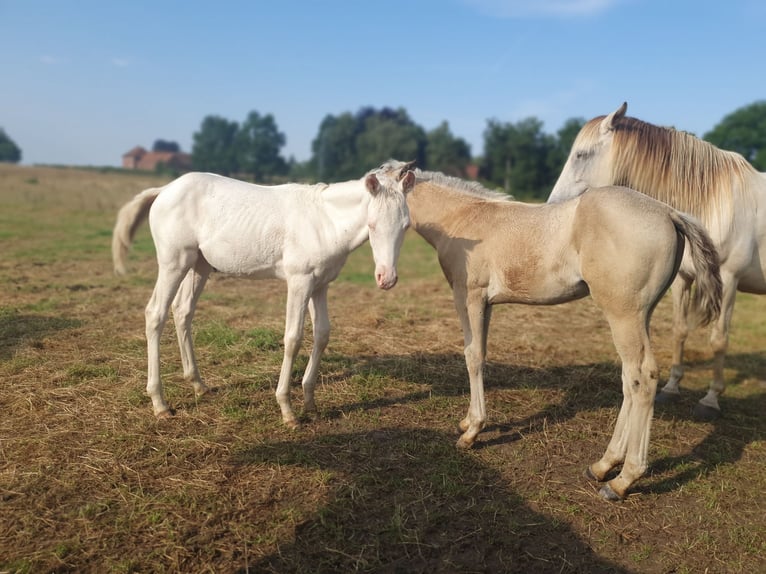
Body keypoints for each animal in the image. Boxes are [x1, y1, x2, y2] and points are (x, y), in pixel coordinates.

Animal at [111, 165, 414, 428]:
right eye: (372, 225)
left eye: (406, 226)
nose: (387, 279)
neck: (323, 222)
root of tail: (164, 190)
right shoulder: (299, 282)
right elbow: (293, 339)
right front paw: (288, 410)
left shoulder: (320, 286)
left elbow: (322, 335)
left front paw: (311, 404)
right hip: (174, 262)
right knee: (156, 314)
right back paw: (160, 404)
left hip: (199, 265)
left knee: (183, 311)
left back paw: (199, 385)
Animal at [384, 160, 728, 502]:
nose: (385, 277)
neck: (465, 217)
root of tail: (669, 212)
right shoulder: (487, 304)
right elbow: (481, 353)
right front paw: (467, 420)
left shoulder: (469, 296)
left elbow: (472, 356)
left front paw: (472, 432)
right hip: (641, 314)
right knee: (629, 379)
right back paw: (603, 465)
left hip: (624, 315)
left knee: (642, 378)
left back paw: (623, 480)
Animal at [544, 101, 766, 420]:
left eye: (581, 155)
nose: (552, 205)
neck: (713, 202)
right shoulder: (684, 278)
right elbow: (679, 331)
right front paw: (671, 389)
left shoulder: (729, 280)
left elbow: (718, 340)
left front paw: (710, 400)